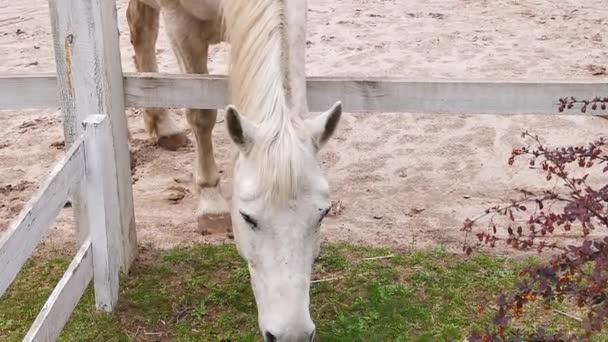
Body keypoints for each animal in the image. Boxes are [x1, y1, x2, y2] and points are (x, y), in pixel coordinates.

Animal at [124, 0, 342, 340]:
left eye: (323, 214)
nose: (291, 334)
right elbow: (201, 114)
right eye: (247, 218)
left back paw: (164, 127)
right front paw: (210, 204)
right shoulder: (182, 27)